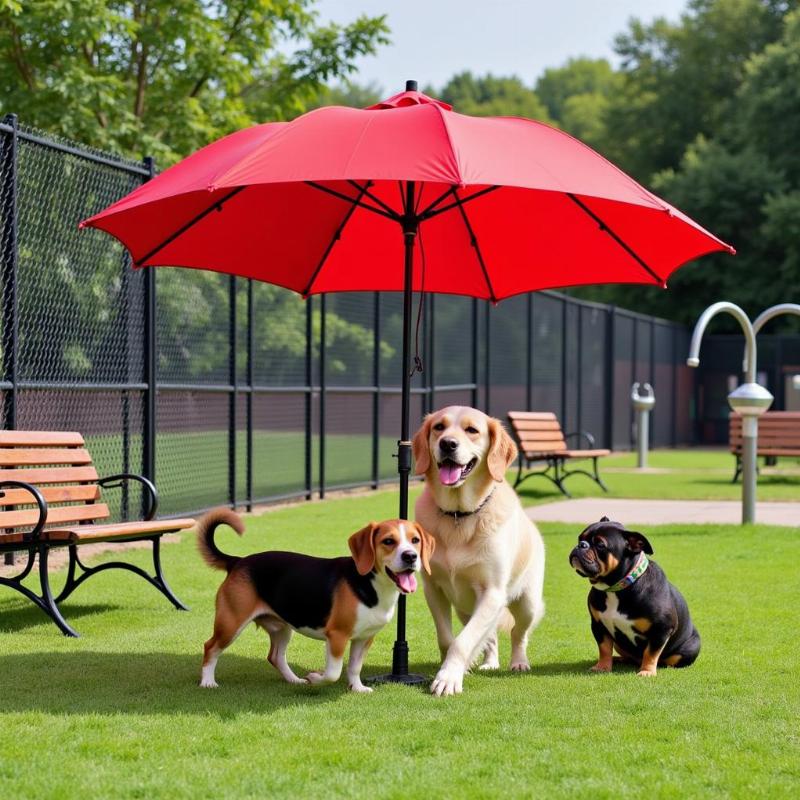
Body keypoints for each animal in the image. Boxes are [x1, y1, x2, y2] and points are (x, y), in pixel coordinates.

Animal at [198, 510, 434, 692]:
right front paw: (315, 678)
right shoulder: (337, 636)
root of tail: (238, 561)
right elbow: (333, 672)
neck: (372, 584)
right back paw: (208, 682)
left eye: (415, 540)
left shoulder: (364, 638)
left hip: (282, 628)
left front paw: (357, 688)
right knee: (210, 647)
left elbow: (354, 667)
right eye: (388, 541)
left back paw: (294, 680)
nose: (410, 556)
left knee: (275, 656)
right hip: (230, 624)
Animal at [568, 520, 700, 676]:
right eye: (580, 538)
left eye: (600, 544)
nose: (581, 545)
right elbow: (604, 648)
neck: (616, 588)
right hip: (619, 645)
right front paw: (602, 667)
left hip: (691, 647)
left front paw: (647, 671)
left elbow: (651, 652)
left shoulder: (661, 629)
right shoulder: (598, 625)